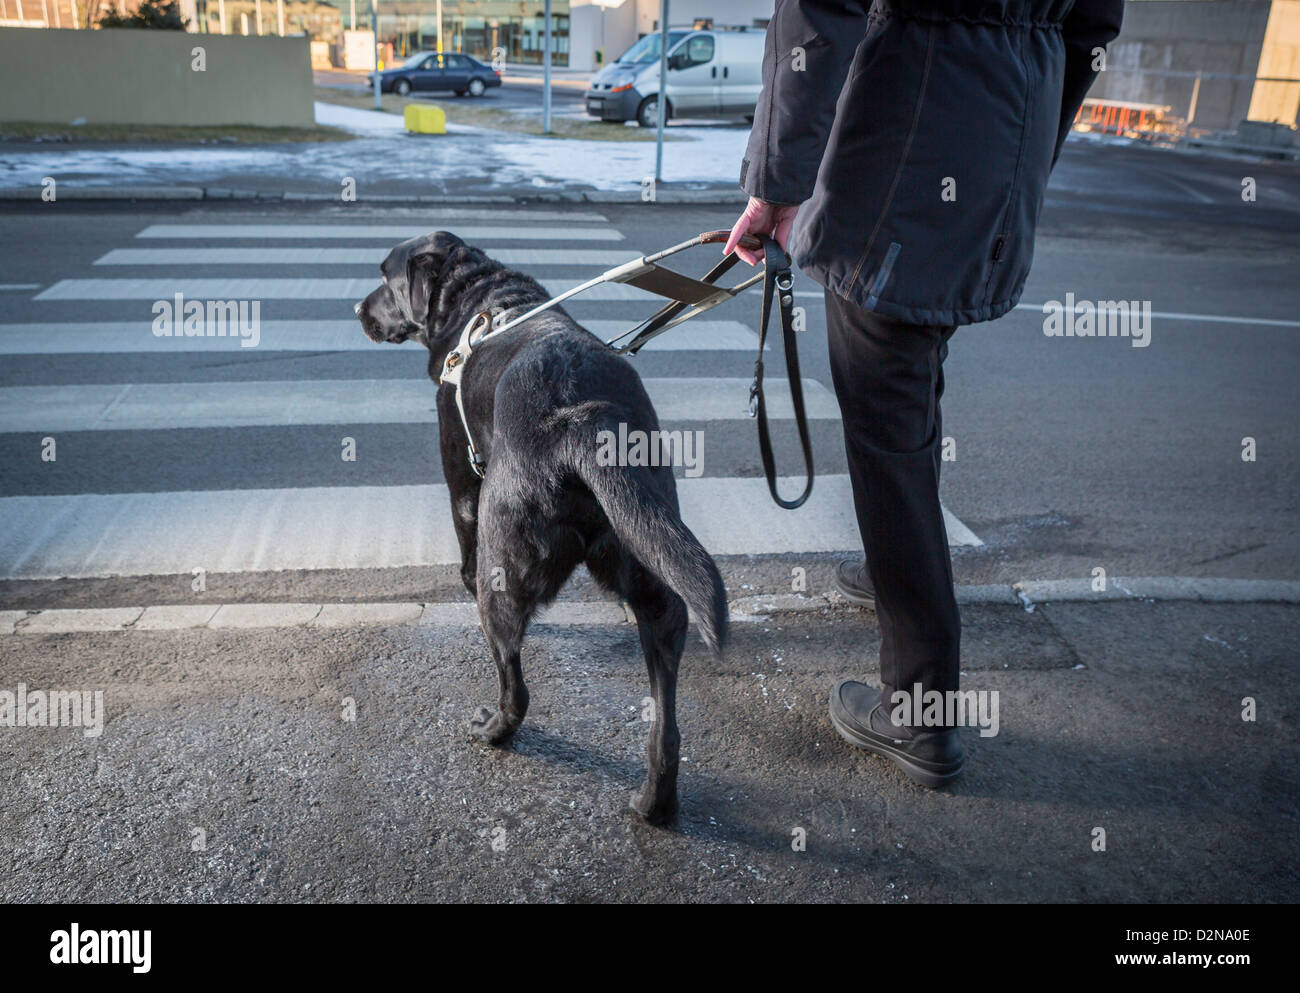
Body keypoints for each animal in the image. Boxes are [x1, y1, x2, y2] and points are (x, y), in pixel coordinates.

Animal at [356, 231, 728, 821]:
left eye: (385, 280)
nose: (357, 310)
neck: (479, 294)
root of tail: (582, 420)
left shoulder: (460, 477)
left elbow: (462, 546)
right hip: (654, 565)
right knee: (666, 722)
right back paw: (655, 799)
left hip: (503, 565)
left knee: (516, 683)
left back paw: (494, 730)